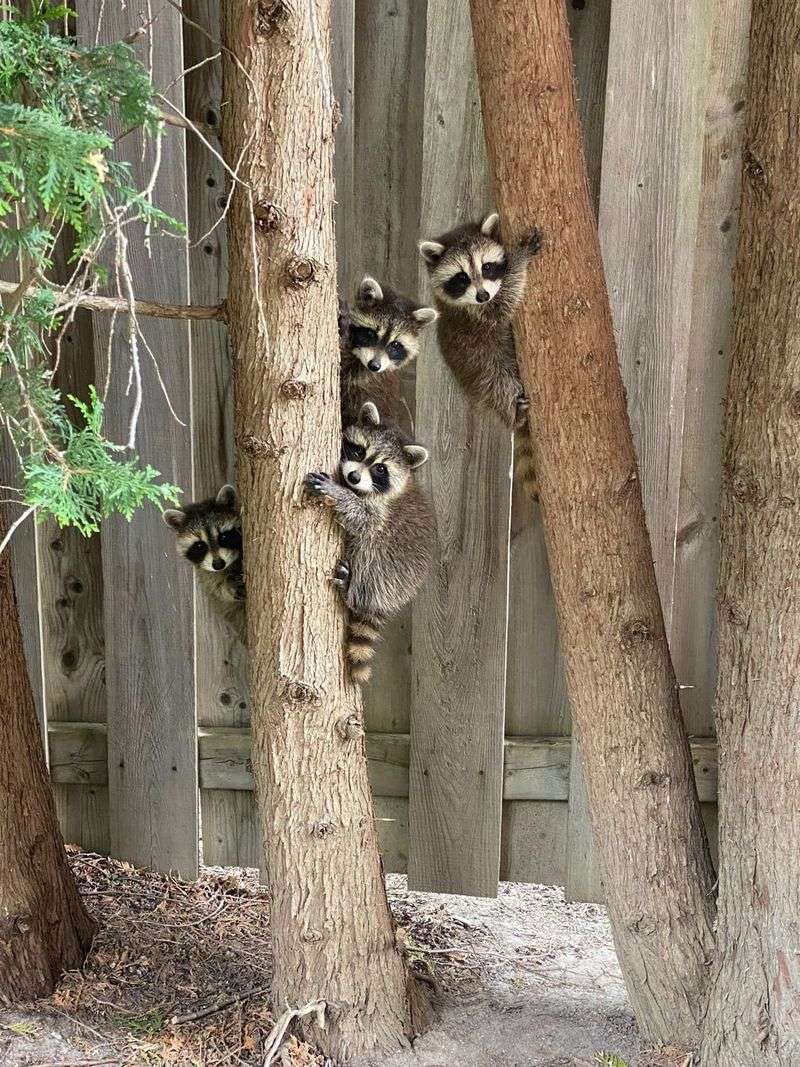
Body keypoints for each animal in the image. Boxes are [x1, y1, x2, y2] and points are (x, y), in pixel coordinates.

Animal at [163, 485, 246, 641]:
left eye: (224, 537)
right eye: (200, 546)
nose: (218, 564)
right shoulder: (206, 573)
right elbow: (217, 589)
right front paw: (228, 586)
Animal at [305, 402, 435, 685]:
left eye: (380, 469)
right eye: (359, 450)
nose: (353, 477)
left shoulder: (381, 513)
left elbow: (363, 520)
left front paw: (338, 493)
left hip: (388, 570)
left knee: (369, 552)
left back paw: (352, 592)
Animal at [418, 212, 541, 497]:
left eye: (486, 267)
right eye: (461, 277)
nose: (483, 294)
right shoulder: (478, 315)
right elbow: (503, 301)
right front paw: (520, 259)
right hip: (484, 375)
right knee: (500, 385)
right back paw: (514, 415)